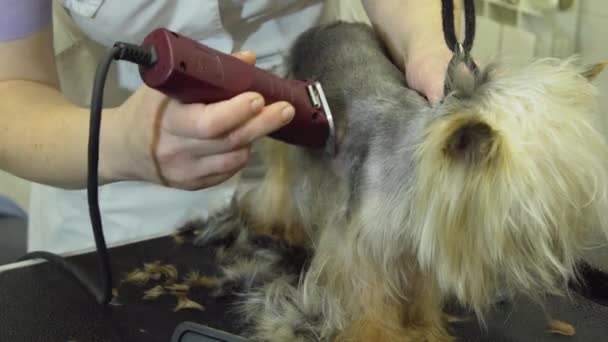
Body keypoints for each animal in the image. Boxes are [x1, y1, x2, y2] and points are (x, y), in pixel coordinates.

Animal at [184, 20, 608, 340]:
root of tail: (329, 25)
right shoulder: (359, 248)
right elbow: (369, 301)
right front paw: (376, 334)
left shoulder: (419, 249)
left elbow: (420, 298)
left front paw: (425, 331)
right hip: (291, 124)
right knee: (280, 184)